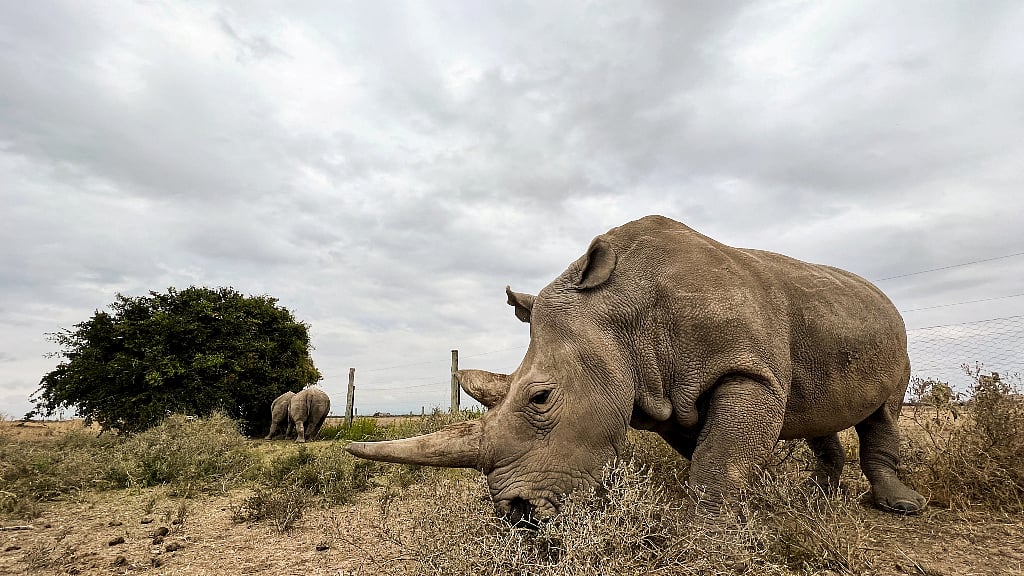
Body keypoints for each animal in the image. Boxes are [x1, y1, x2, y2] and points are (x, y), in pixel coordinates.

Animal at [346, 215, 926, 519]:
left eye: (540, 398)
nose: (517, 514)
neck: (624, 313)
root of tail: (882, 297)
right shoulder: (668, 395)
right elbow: (712, 452)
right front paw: (744, 506)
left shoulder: (746, 370)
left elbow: (718, 460)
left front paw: (709, 534)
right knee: (813, 412)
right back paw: (817, 499)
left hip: (895, 334)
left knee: (885, 412)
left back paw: (901, 508)